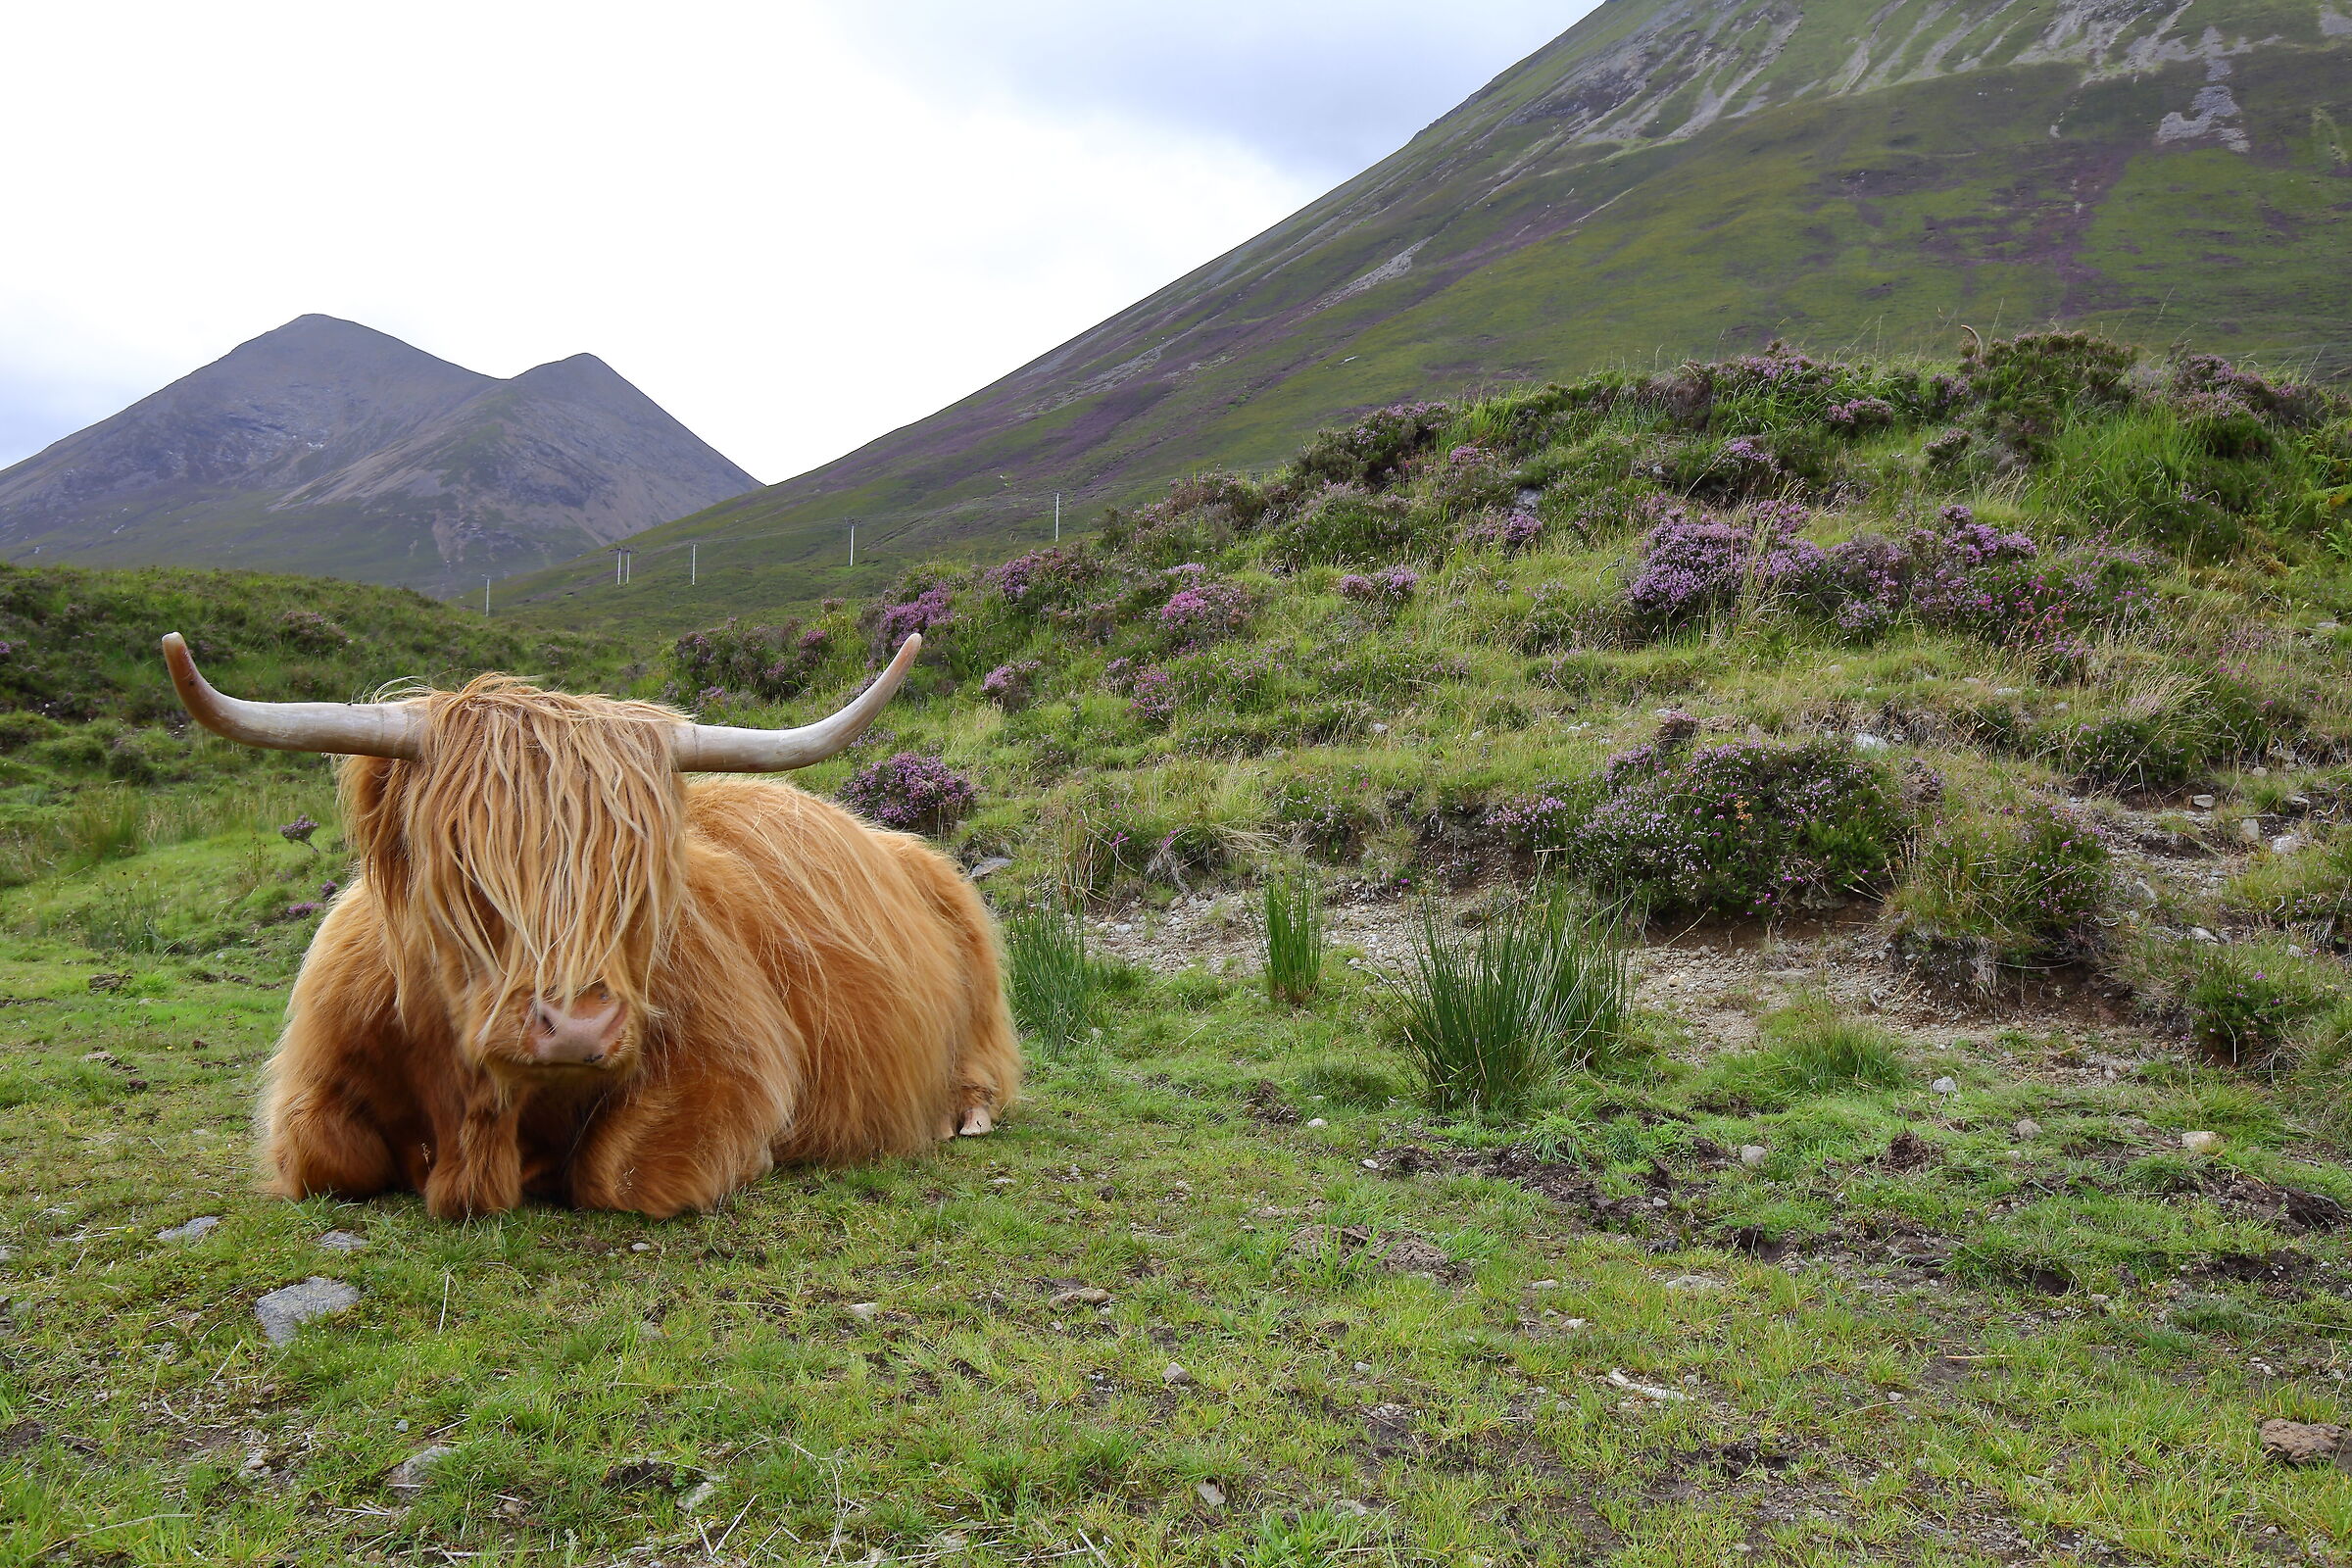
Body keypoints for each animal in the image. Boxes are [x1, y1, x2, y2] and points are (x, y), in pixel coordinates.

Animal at [160, 632, 1020, 1221]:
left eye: (637, 878)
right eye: (465, 868)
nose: (575, 1025)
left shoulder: (734, 1064)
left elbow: (625, 1173)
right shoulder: (316, 1085)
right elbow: (327, 1159)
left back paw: (966, 1116)